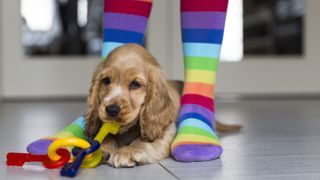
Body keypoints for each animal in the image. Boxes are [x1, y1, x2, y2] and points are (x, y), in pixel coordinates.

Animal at [84, 43, 240, 167]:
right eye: (106, 80)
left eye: (135, 84)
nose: (111, 109)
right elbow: (105, 136)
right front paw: (101, 147)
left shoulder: (167, 129)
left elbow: (145, 142)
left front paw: (128, 151)